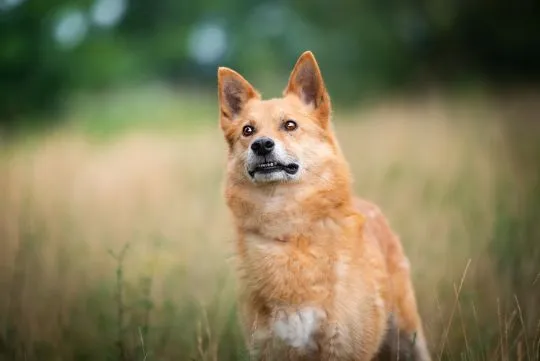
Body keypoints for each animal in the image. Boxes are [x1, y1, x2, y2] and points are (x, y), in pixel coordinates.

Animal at [215, 50, 430, 360]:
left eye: (290, 125)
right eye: (247, 130)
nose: (261, 145)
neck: (291, 234)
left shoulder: (343, 346)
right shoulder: (272, 348)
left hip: (408, 335)